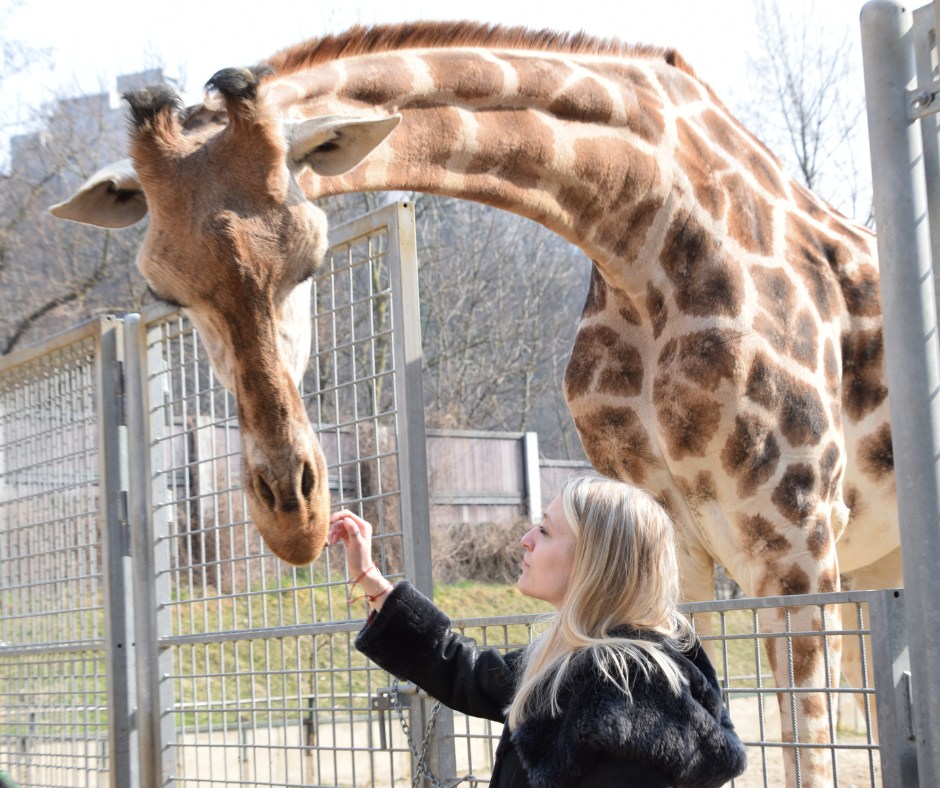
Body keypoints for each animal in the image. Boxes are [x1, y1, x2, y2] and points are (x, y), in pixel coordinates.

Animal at [49, 23, 896, 780]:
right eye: (165, 292)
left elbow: (809, 756)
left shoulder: (792, 539)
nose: (294, 518)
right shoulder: (676, 541)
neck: (643, 229)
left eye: (312, 259)